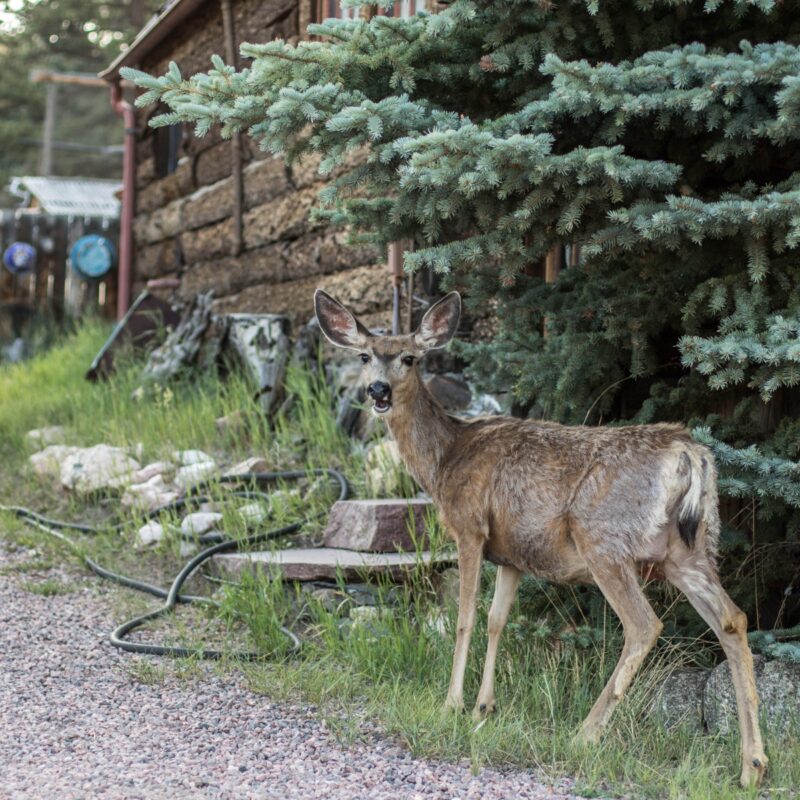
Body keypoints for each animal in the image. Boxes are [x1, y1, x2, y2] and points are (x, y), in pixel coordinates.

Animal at [314, 288, 767, 788]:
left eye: (409, 358)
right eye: (364, 356)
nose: (378, 391)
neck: (445, 460)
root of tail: (691, 452)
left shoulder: (470, 528)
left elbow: (465, 618)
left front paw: (452, 704)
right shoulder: (512, 555)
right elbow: (497, 620)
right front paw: (484, 707)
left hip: (603, 539)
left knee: (644, 625)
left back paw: (585, 734)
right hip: (688, 549)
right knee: (733, 619)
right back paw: (752, 765)